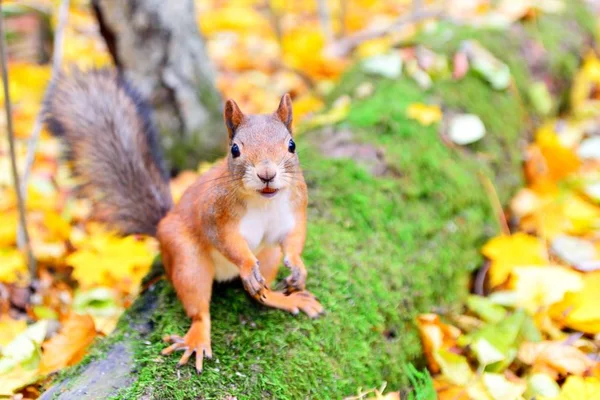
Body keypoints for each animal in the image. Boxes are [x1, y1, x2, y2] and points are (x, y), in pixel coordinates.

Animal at [44, 69, 324, 376]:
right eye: (235, 149)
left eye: (291, 145)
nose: (266, 174)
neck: (264, 201)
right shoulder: (215, 213)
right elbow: (227, 242)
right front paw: (248, 265)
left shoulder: (295, 209)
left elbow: (295, 238)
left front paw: (298, 268)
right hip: (187, 261)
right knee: (199, 310)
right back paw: (197, 339)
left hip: (269, 255)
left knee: (259, 295)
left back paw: (285, 298)